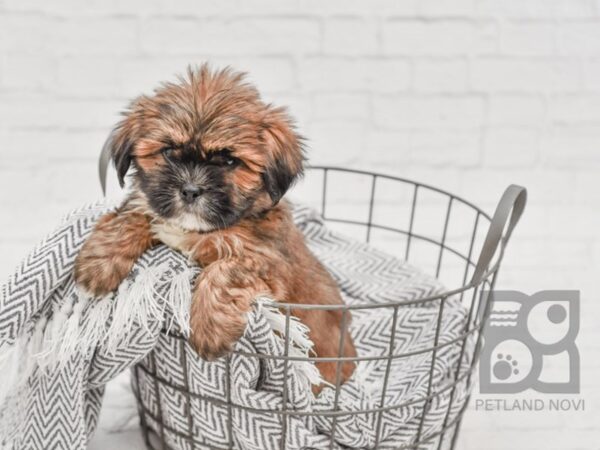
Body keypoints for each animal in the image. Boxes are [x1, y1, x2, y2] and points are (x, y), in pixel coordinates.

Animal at [74, 66, 356, 390]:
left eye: (229, 161)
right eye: (168, 151)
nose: (190, 190)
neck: (200, 230)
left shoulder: (267, 264)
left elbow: (224, 271)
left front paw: (210, 331)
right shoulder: (153, 208)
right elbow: (134, 213)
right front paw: (99, 263)